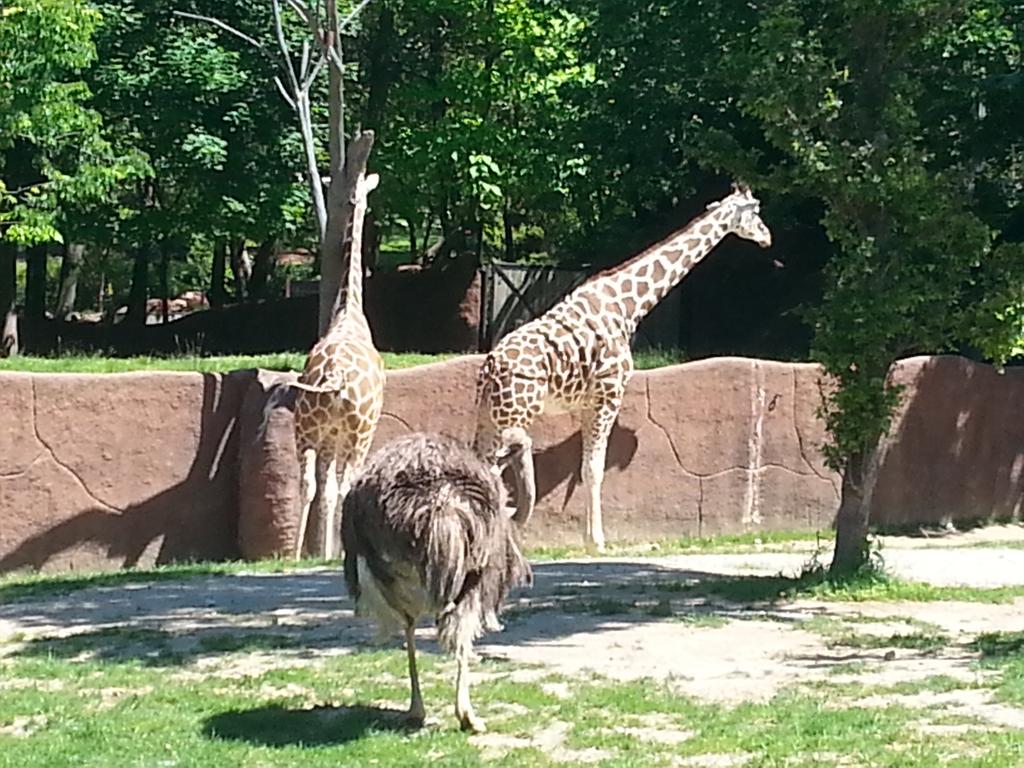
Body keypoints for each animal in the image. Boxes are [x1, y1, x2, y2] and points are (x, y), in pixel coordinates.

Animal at [473, 184, 773, 552]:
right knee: (493, 471)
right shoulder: (609, 395)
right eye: (756, 211)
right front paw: (597, 541)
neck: (629, 306)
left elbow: (586, 467)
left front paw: (590, 536)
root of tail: (490, 366)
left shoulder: (588, 403)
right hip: (514, 415)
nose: (768, 237)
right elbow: (594, 469)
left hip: (488, 417)